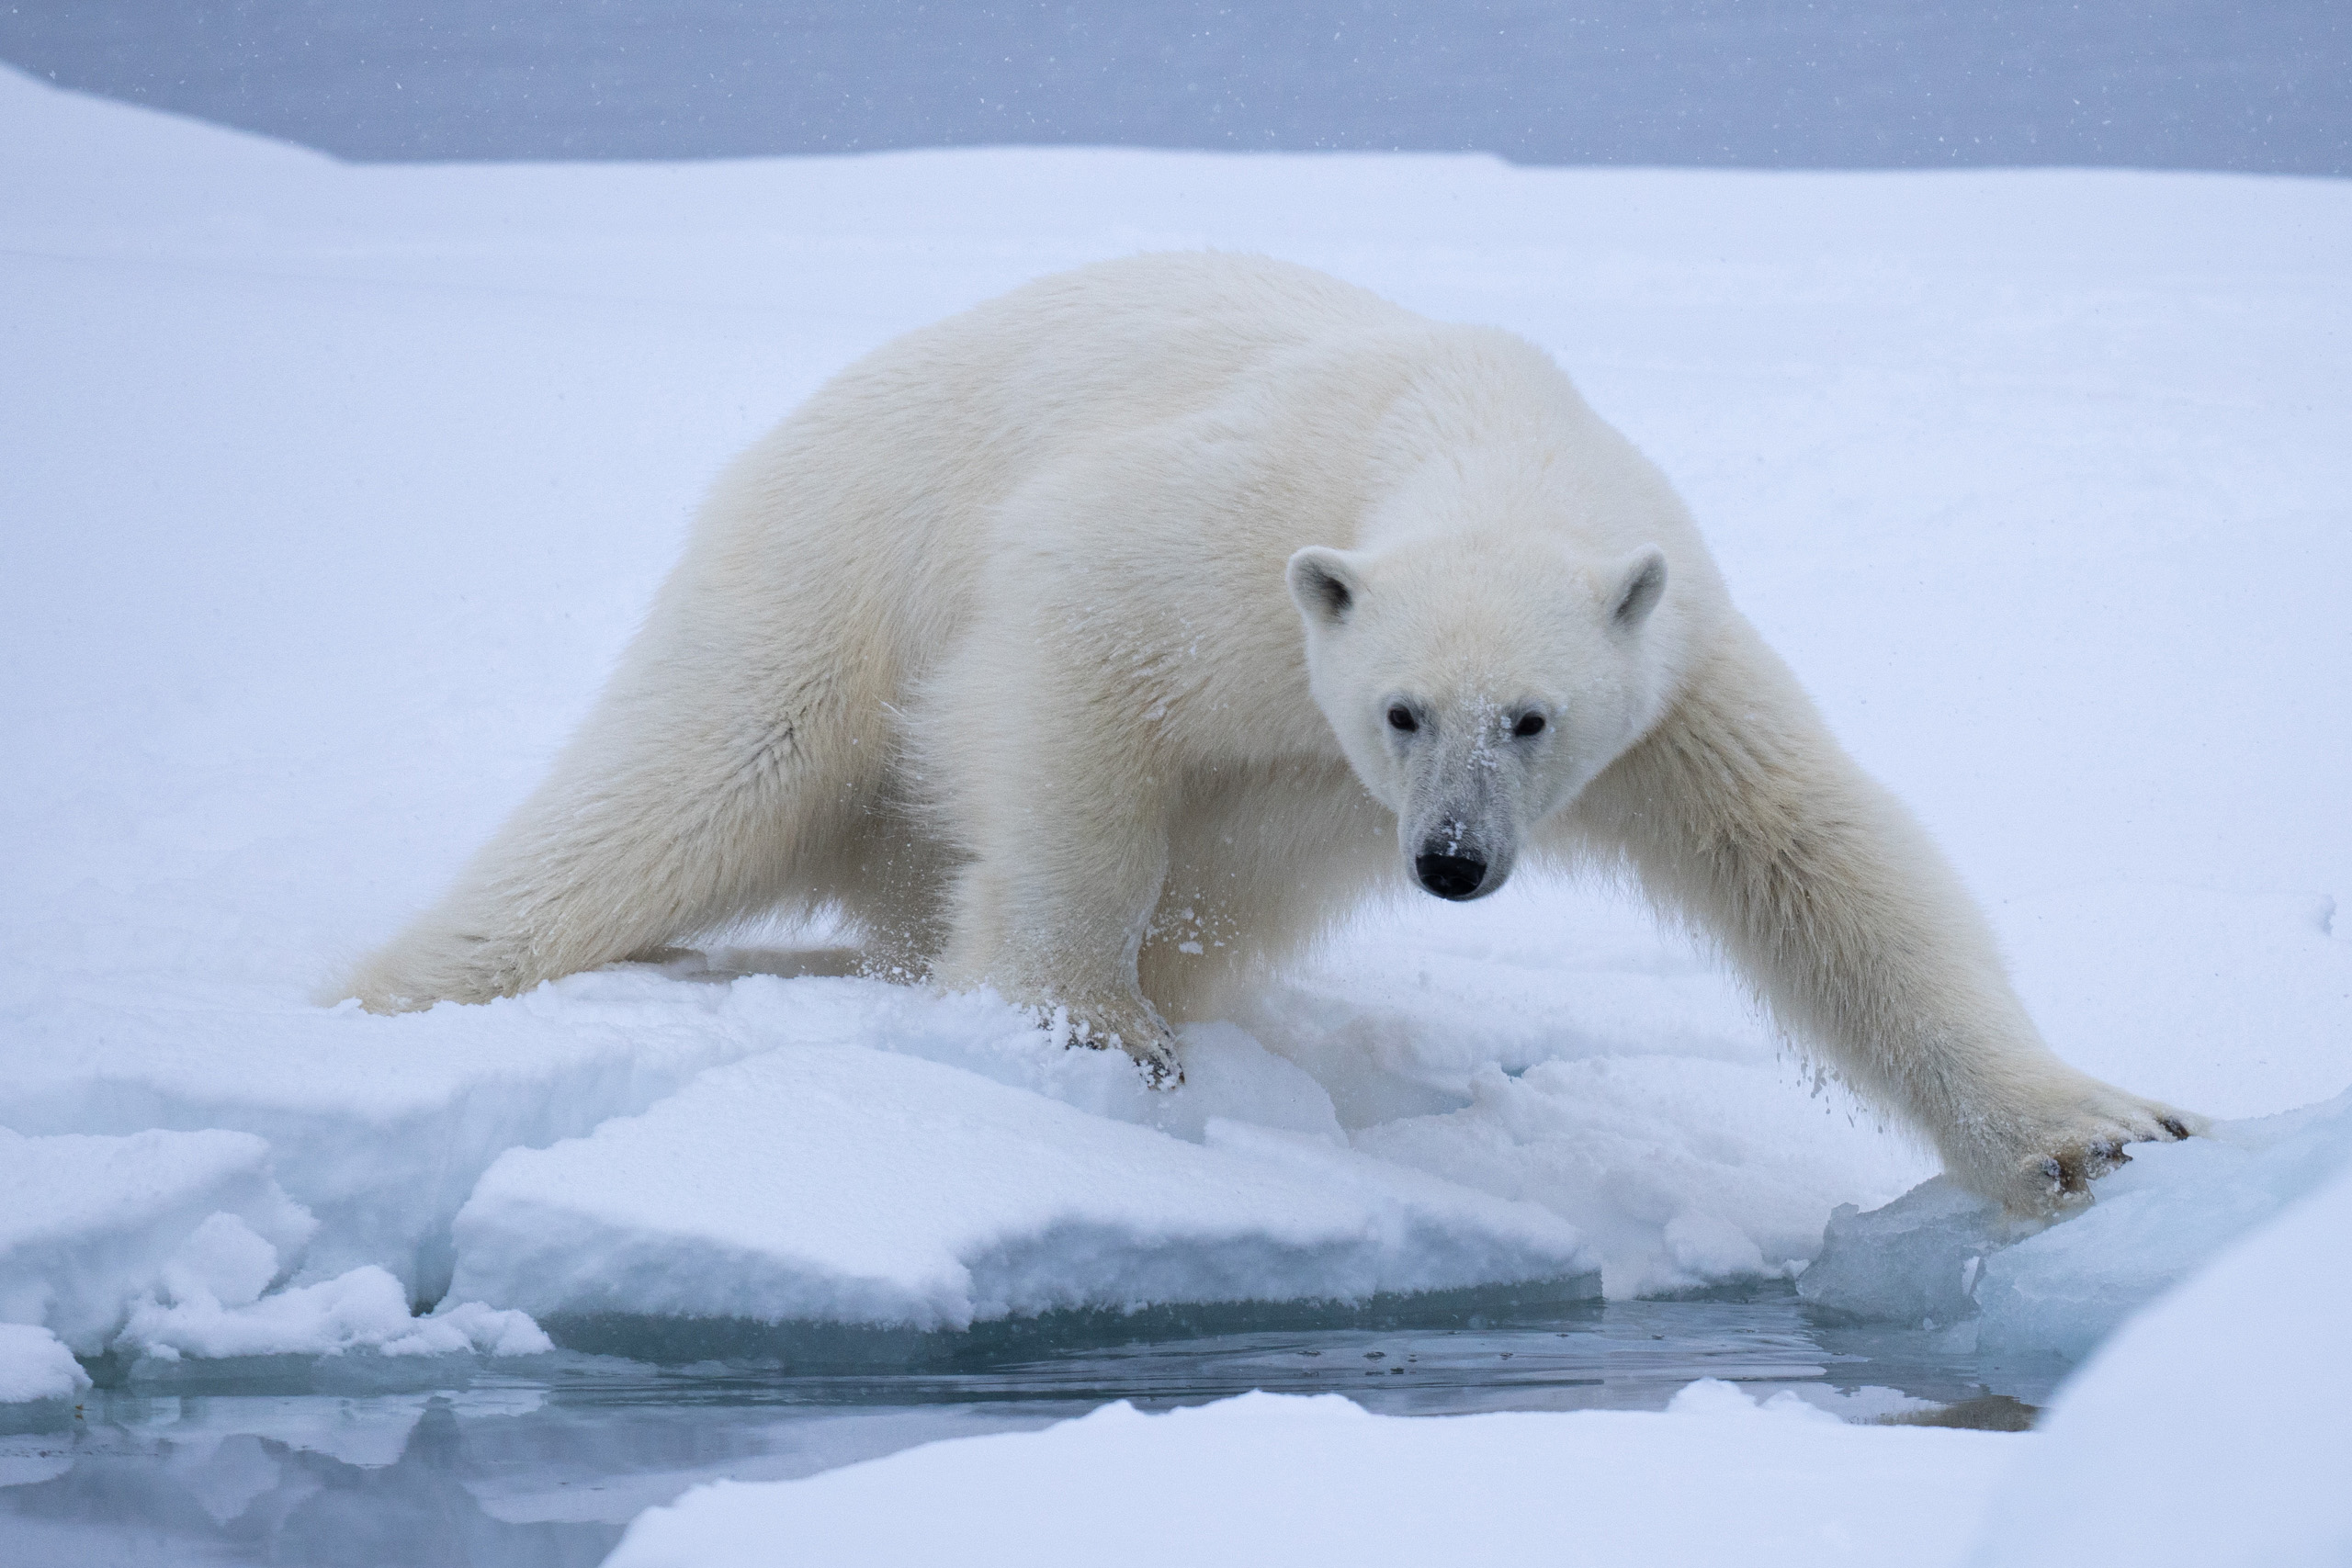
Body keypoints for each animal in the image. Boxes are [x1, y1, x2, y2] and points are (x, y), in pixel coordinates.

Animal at [357, 254, 2191, 1213]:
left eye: (1531, 718)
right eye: (1401, 707)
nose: (1450, 860)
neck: (1476, 427)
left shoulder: (1674, 678)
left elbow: (1820, 862)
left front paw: (2094, 1128)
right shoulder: (1232, 545)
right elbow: (1075, 647)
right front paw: (1090, 1022)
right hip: (828, 558)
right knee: (687, 782)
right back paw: (410, 982)